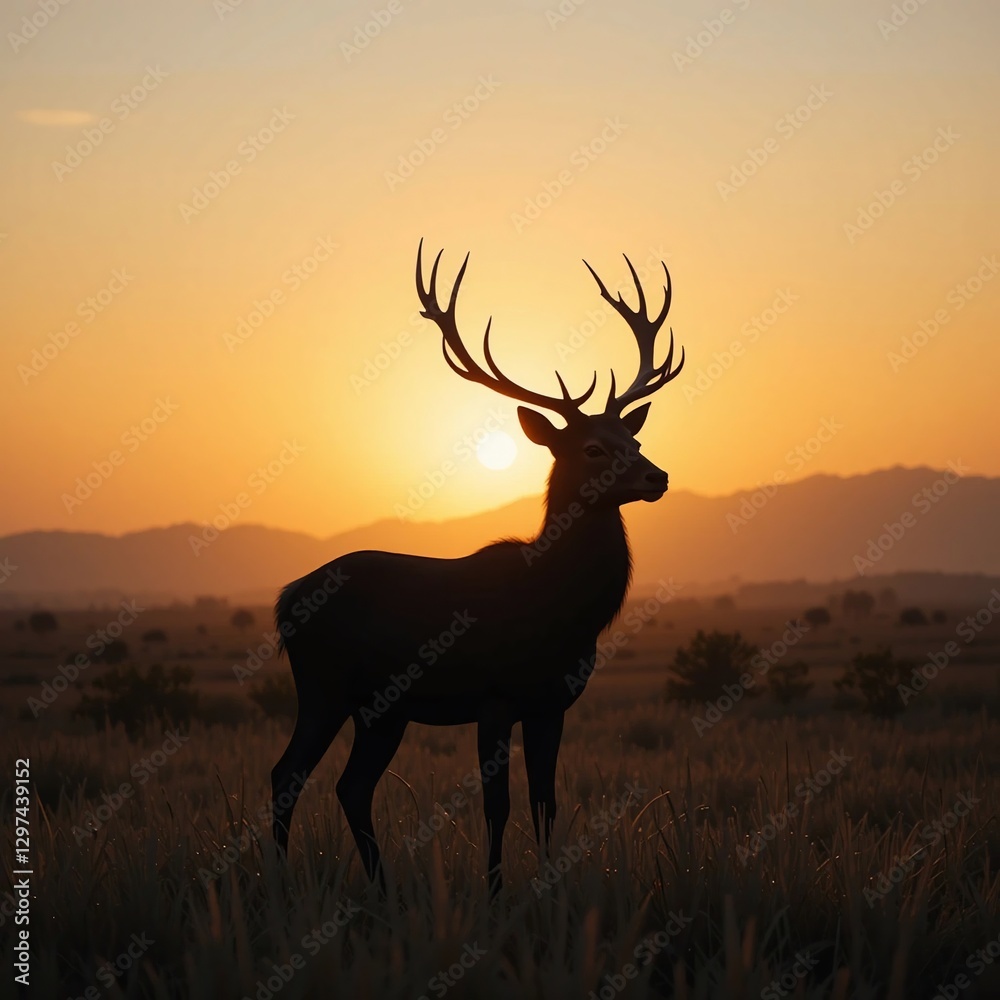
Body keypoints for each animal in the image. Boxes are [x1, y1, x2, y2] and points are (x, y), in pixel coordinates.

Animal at [270, 240, 685, 895]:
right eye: (592, 447)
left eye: (635, 441)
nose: (657, 476)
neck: (561, 614)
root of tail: (285, 599)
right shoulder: (493, 698)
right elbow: (498, 805)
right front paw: (493, 893)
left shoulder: (552, 704)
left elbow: (546, 802)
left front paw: (549, 889)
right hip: (323, 684)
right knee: (286, 775)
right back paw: (285, 884)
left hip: (382, 709)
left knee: (350, 785)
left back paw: (382, 889)